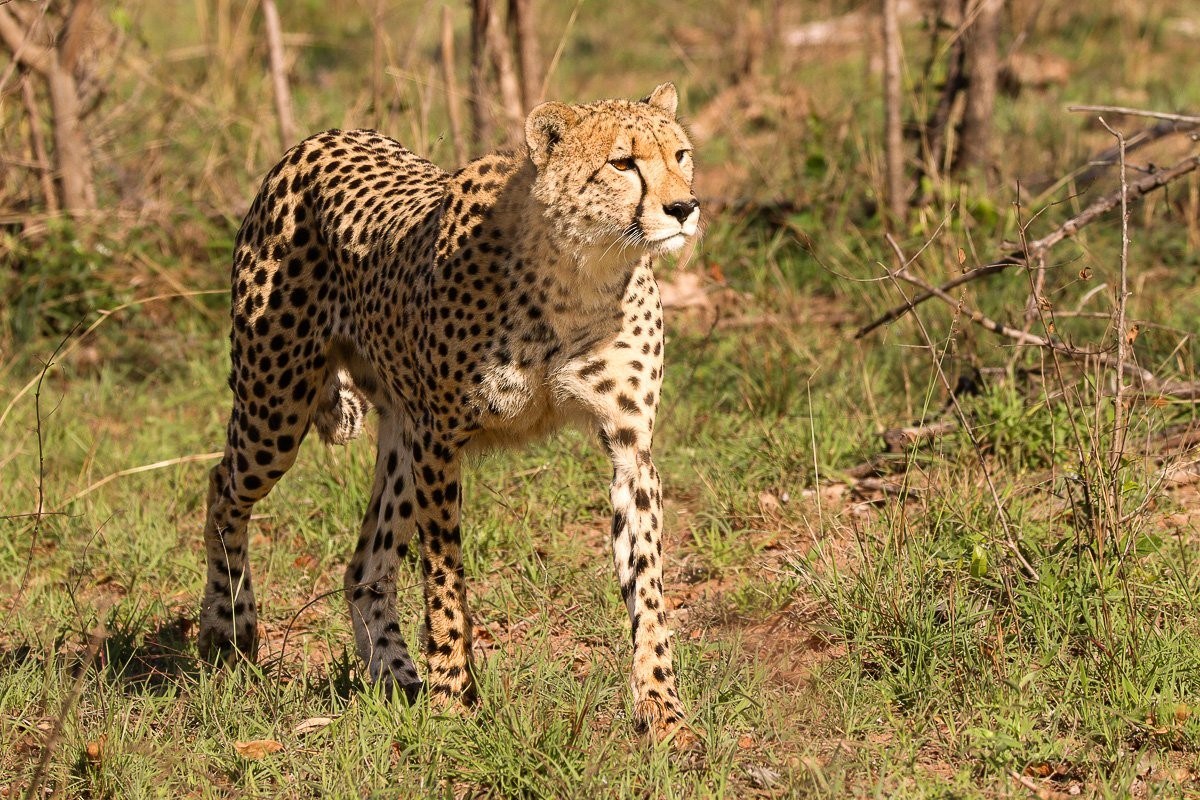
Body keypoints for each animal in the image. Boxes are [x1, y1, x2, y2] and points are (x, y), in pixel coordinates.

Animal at [197, 83, 701, 740]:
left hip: (398, 433)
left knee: (364, 564)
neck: (580, 273)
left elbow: (647, 588)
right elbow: (444, 578)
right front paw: (453, 697)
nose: (685, 208)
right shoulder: (440, 442)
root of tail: (318, 138)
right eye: (623, 163)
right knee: (222, 486)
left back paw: (395, 676)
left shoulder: (629, 447)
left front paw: (662, 708)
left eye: (681, 154)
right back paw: (228, 628)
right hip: (275, 405)